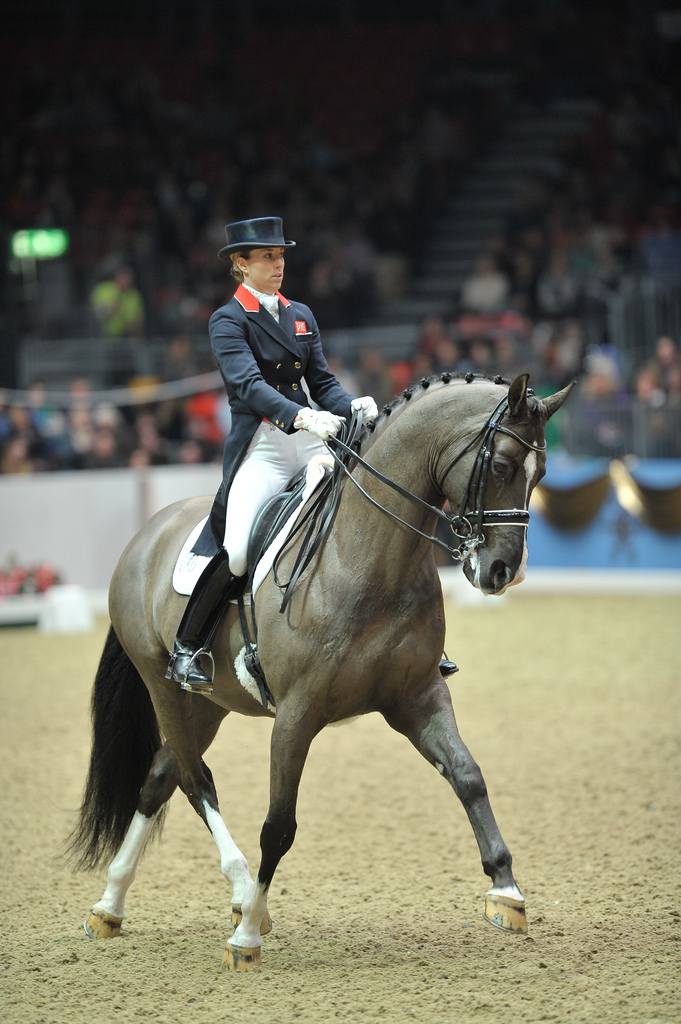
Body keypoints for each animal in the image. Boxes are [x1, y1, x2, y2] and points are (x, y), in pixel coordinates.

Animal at [69, 374, 569, 966]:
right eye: (502, 466)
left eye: (542, 474)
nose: (502, 571)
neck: (366, 558)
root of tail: (149, 532)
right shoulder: (297, 715)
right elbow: (278, 826)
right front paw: (246, 939)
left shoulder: (418, 696)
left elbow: (468, 777)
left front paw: (506, 893)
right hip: (163, 687)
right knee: (195, 781)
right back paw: (237, 895)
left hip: (207, 705)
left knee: (158, 780)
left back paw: (113, 906)